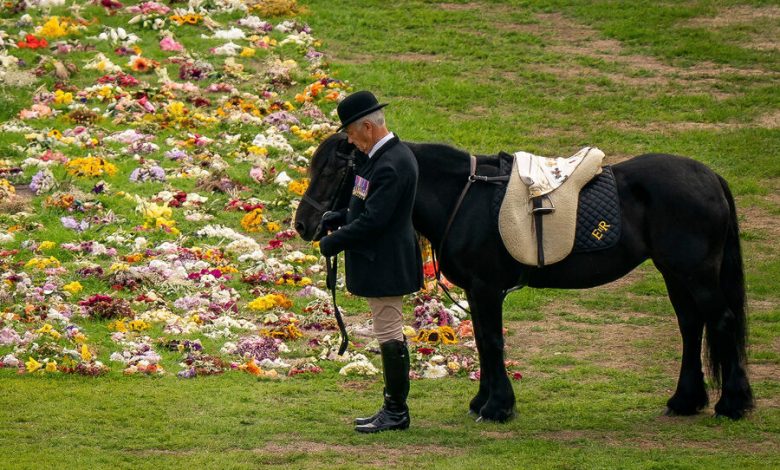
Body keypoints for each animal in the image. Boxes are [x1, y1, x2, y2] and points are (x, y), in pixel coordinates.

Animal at [296, 133, 752, 422]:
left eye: (332, 170)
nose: (304, 225)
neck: (465, 196)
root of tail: (709, 177)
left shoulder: (486, 288)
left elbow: (493, 342)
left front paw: (497, 407)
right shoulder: (477, 291)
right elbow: (484, 342)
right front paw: (483, 402)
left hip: (695, 274)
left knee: (721, 321)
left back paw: (733, 403)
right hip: (675, 273)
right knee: (692, 326)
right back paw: (685, 400)